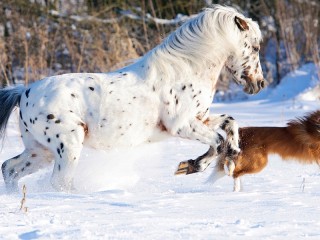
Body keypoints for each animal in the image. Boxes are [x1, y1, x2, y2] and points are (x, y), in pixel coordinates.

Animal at [1, 5, 264, 192]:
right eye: (255, 47)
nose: (259, 84)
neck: (185, 68)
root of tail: (24, 92)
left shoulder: (201, 117)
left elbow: (230, 123)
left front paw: (232, 151)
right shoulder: (182, 126)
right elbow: (217, 141)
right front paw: (191, 166)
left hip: (40, 151)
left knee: (9, 169)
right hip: (68, 146)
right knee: (59, 182)